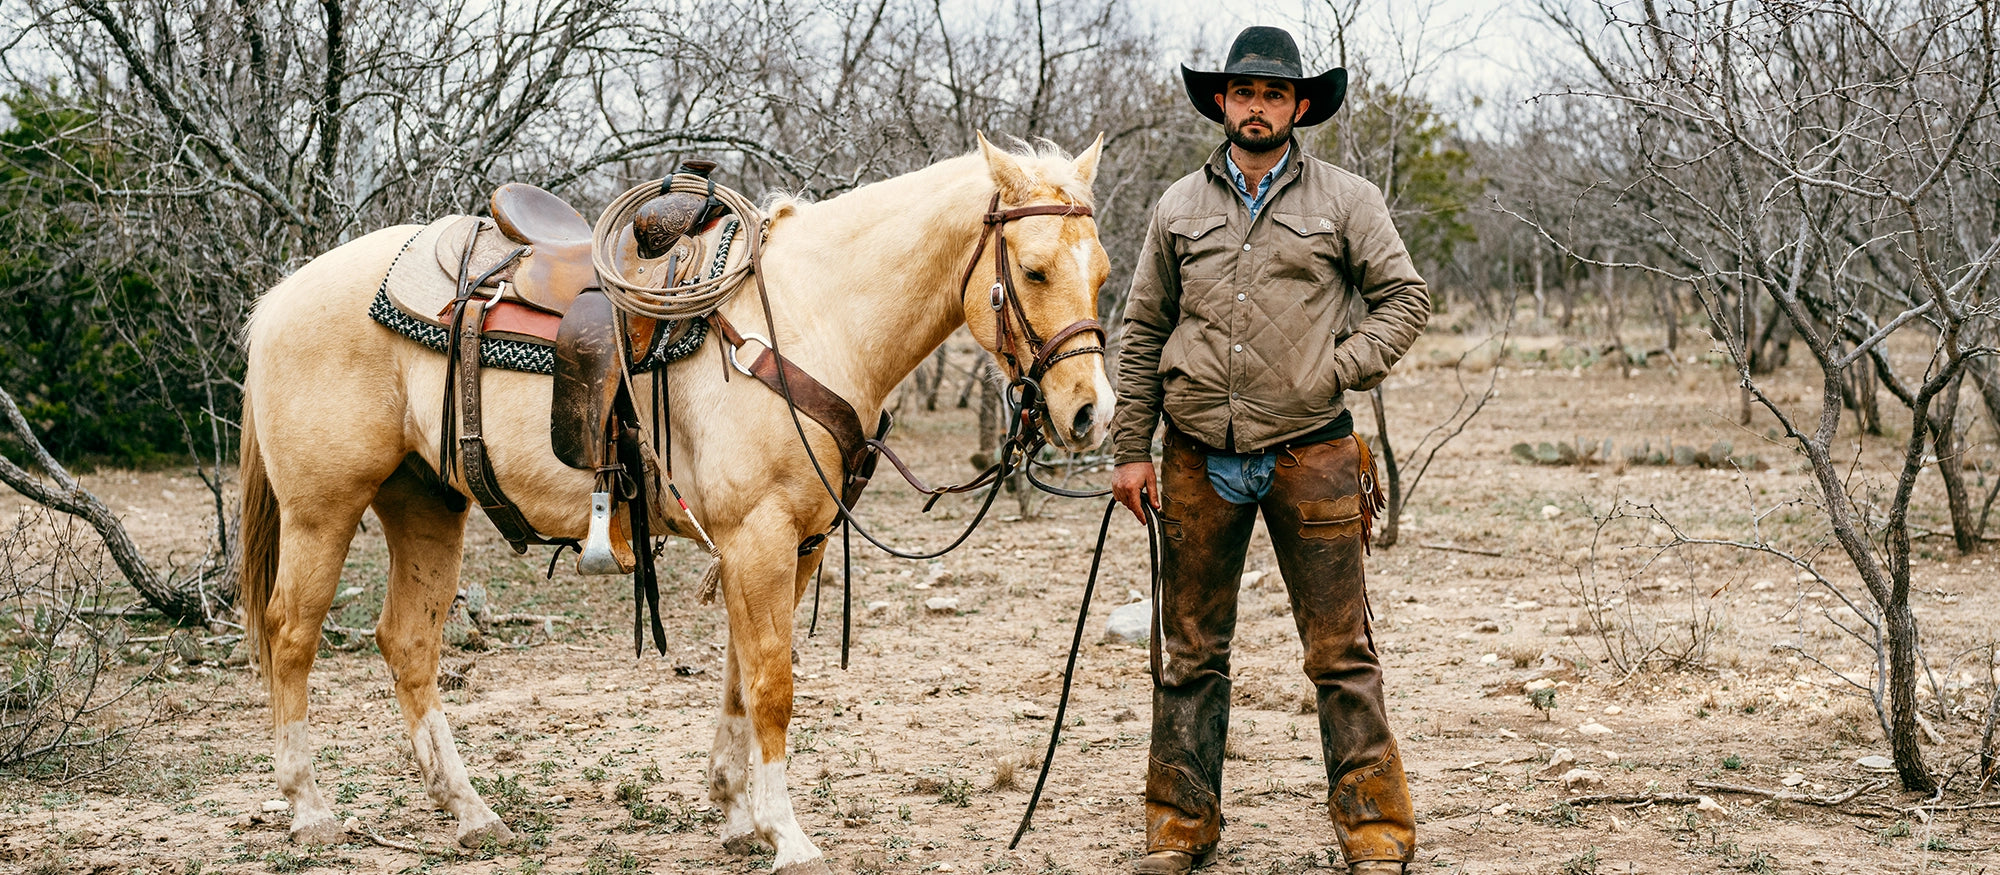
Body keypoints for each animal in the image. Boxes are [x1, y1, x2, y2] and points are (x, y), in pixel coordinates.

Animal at [238, 136, 1112, 867]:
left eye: (1102, 272)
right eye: (1034, 270)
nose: (1088, 413)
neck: (807, 317)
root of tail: (279, 296)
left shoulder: (794, 544)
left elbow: (740, 676)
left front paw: (739, 815)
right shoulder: (758, 536)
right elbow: (772, 684)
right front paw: (788, 835)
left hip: (424, 504)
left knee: (408, 644)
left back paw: (472, 813)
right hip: (323, 511)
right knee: (291, 636)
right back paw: (310, 810)